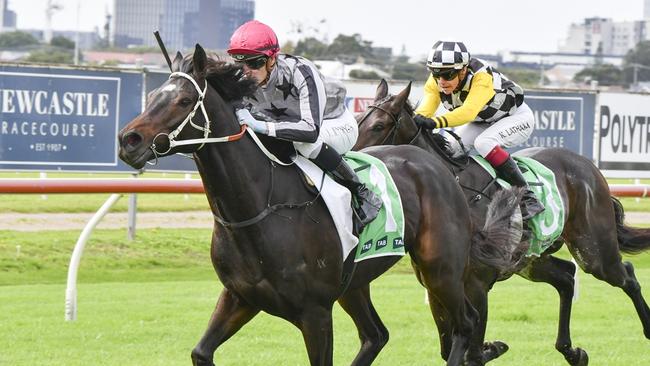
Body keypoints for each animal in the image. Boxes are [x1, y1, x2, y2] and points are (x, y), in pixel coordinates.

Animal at [116, 46, 524, 366]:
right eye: (154, 95)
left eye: (184, 101)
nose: (128, 140)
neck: (259, 208)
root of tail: (438, 168)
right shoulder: (239, 297)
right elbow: (201, 352)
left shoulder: (315, 313)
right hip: (356, 283)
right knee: (377, 335)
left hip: (440, 269)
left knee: (465, 323)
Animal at [352, 78, 648, 364]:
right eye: (357, 121)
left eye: (378, 126)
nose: (356, 162)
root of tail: (588, 166)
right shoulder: (437, 286)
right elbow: (450, 349)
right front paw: (492, 347)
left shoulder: (477, 284)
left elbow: (471, 352)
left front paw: (489, 348)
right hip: (530, 261)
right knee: (566, 277)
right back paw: (572, 352)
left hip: (594, 252)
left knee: (626, 275)